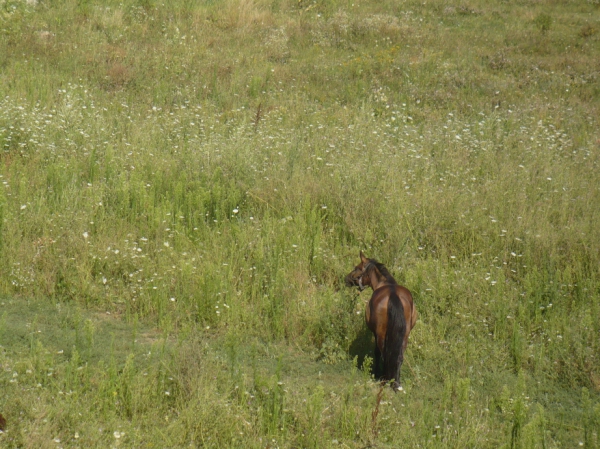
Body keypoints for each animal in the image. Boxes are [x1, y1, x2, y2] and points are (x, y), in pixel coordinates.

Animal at [346, 250, 418, 390]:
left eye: (357, 268)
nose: (347, 279)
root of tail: (393, 294)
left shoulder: (375, 332)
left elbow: (377, 353)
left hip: (381, 334)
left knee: (385, 355)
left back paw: (385, 380)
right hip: (405, 335)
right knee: (399, 356)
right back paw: (396, 383)